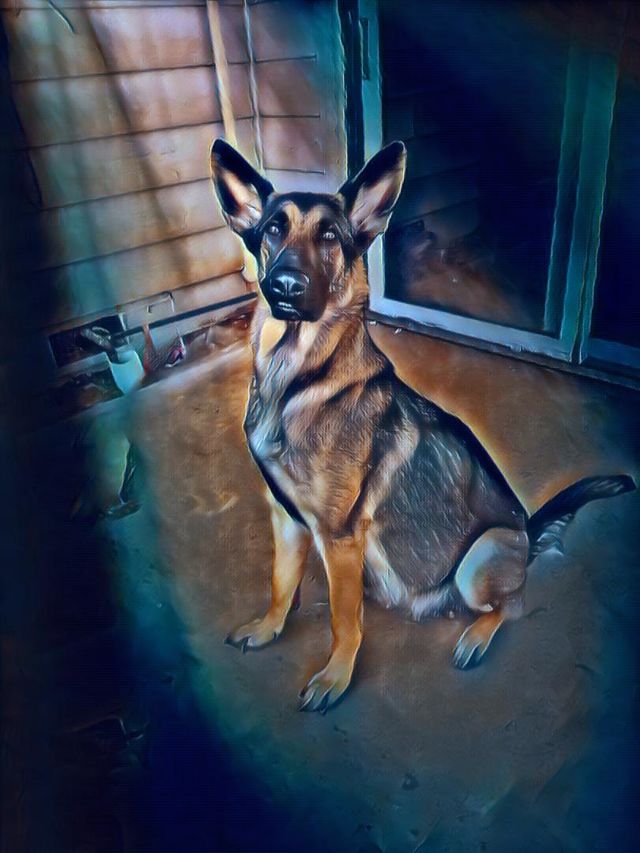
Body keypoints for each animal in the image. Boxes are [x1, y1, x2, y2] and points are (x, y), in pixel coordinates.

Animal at [210, 138, 635, 713]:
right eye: (273, 229)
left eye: (330, 236)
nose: (285, 286)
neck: (297, 380)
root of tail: (527, 534)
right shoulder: (286, 517)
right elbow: (280, 583)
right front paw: (268, 628)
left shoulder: (338, 535)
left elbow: (342, 621)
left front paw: (336, 677)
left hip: (480, 557)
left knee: (512, 605)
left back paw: (476, 637)